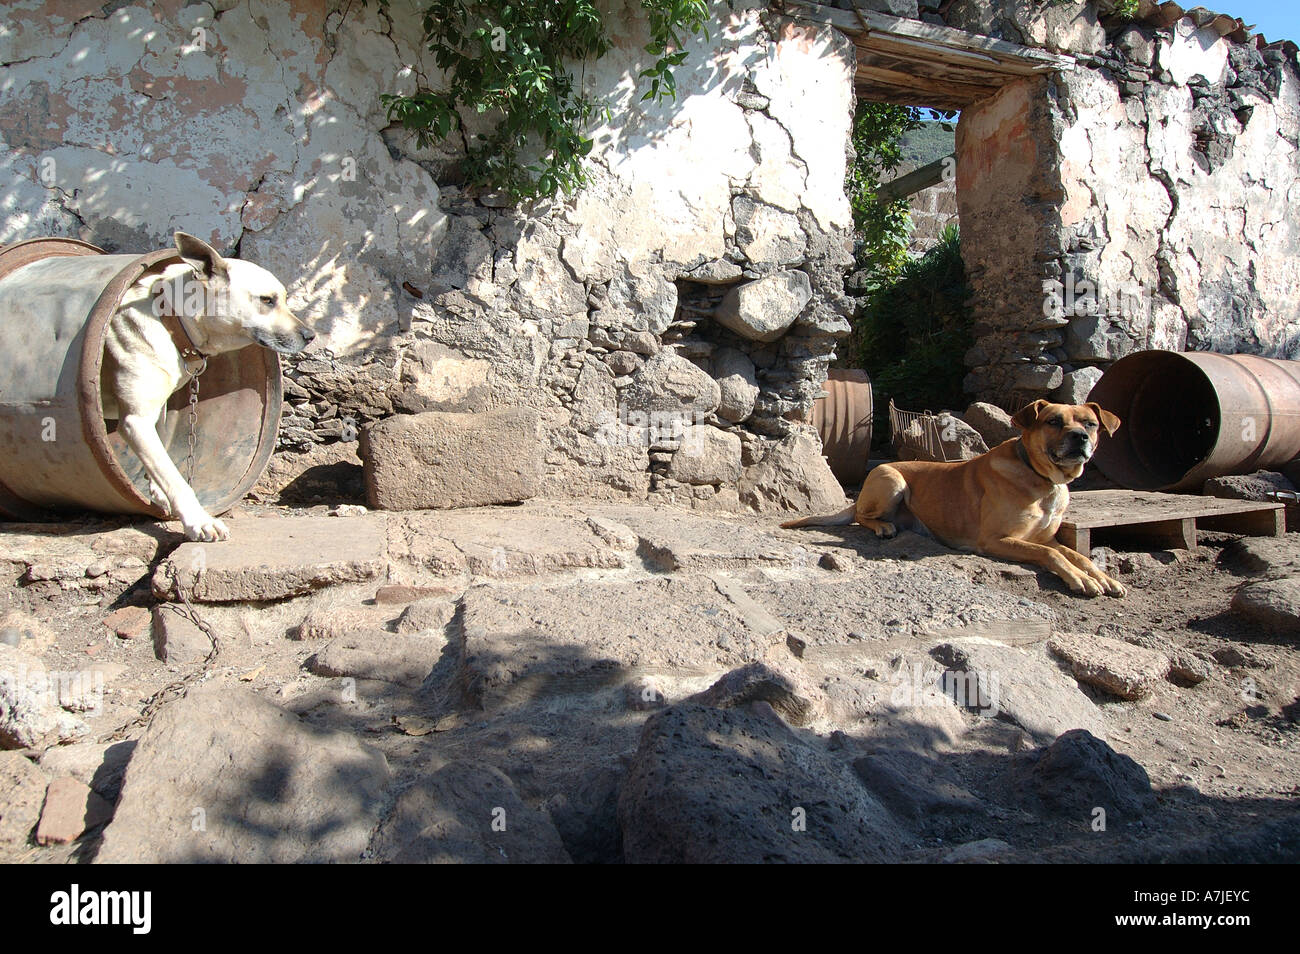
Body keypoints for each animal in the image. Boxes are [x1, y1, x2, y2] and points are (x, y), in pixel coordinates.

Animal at [98, 233, 314, 540]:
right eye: (267, 300)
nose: (311, 335)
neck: (170, 320)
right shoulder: (136, 420)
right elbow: (174, 477)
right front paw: (198, 520)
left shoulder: (158, 412)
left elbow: (160, 459)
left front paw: (157, 494)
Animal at [780, 402, 1128, 597]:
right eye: (1054, 421)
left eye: (1090, 424)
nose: (1080, 437)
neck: (1042, 479)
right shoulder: (995, 539)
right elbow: (1051, 555)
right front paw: (1081, 580)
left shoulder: (1045, 537)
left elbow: (1077, 555)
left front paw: (1102, 578)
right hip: (891, 479)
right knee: (861, 516)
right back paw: (883, 527)